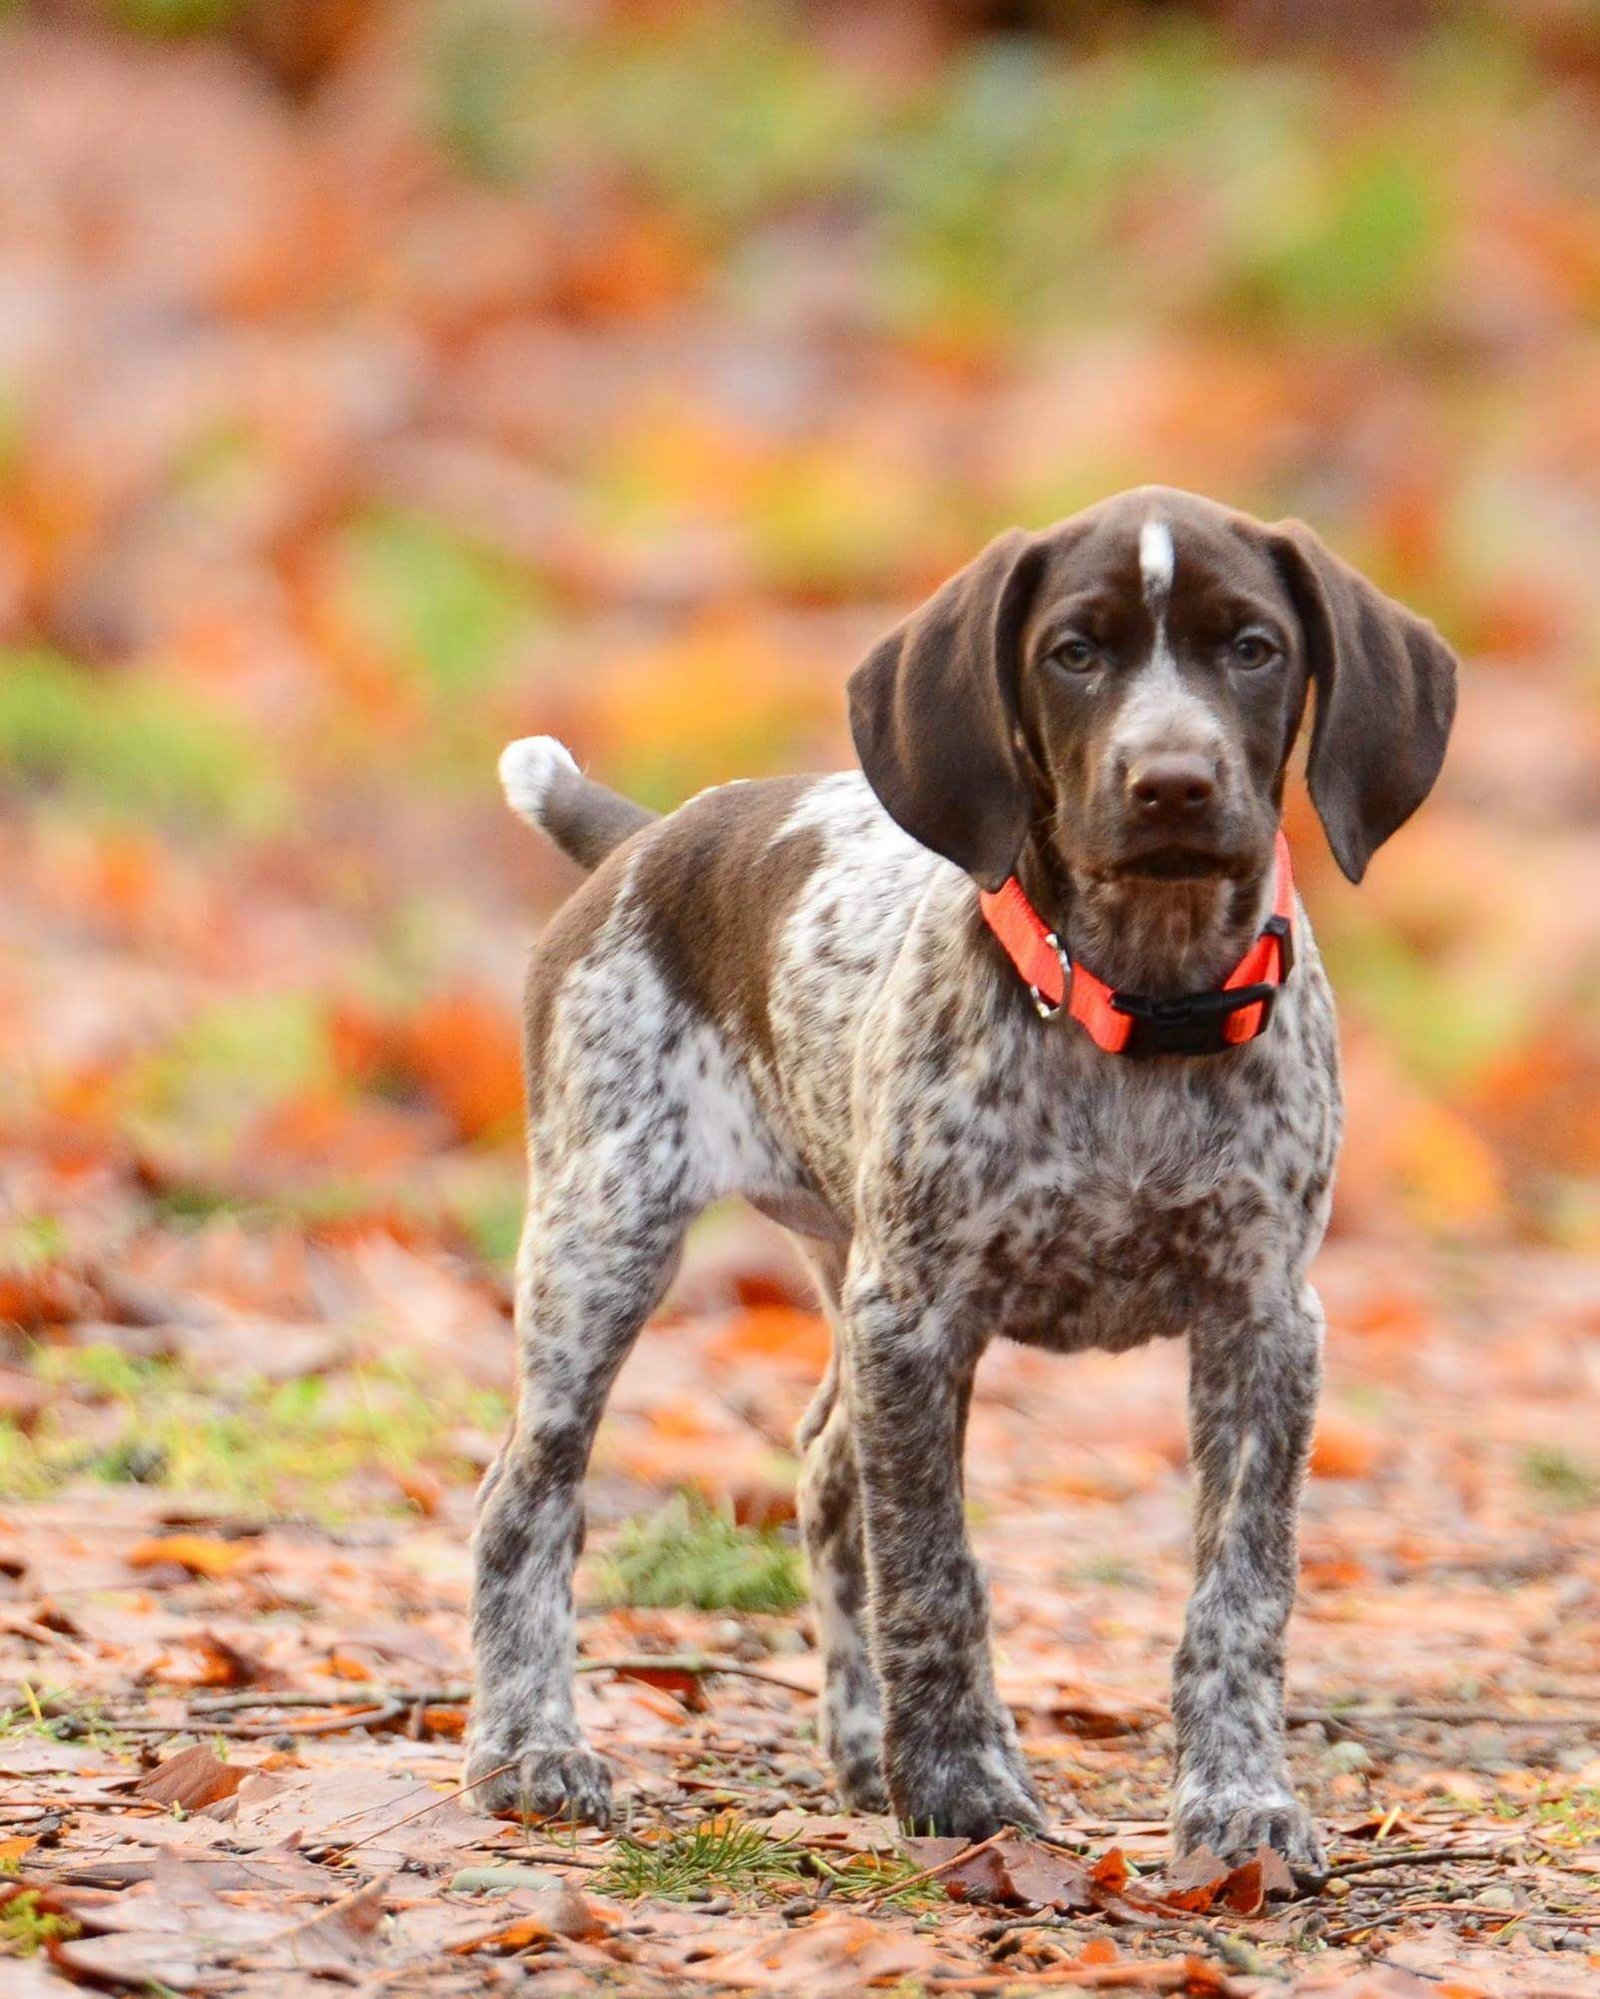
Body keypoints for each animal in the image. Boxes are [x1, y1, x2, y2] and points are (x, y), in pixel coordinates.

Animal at [468, 491, 1456, 1863]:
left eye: (1253, 648)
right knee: (529, 1493)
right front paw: (959, 1786)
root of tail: (645, 841)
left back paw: (852, 1744)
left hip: (835, 1254)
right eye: (1073, 653)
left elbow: (1241, 1588)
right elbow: (933, 1566)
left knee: (829, 1471)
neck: (1143, 1006)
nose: (1171, 782)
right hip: (603, 1234)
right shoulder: (921, 1314)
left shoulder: (1263, 1320)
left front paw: (1241, 1801)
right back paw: (532, 1751)